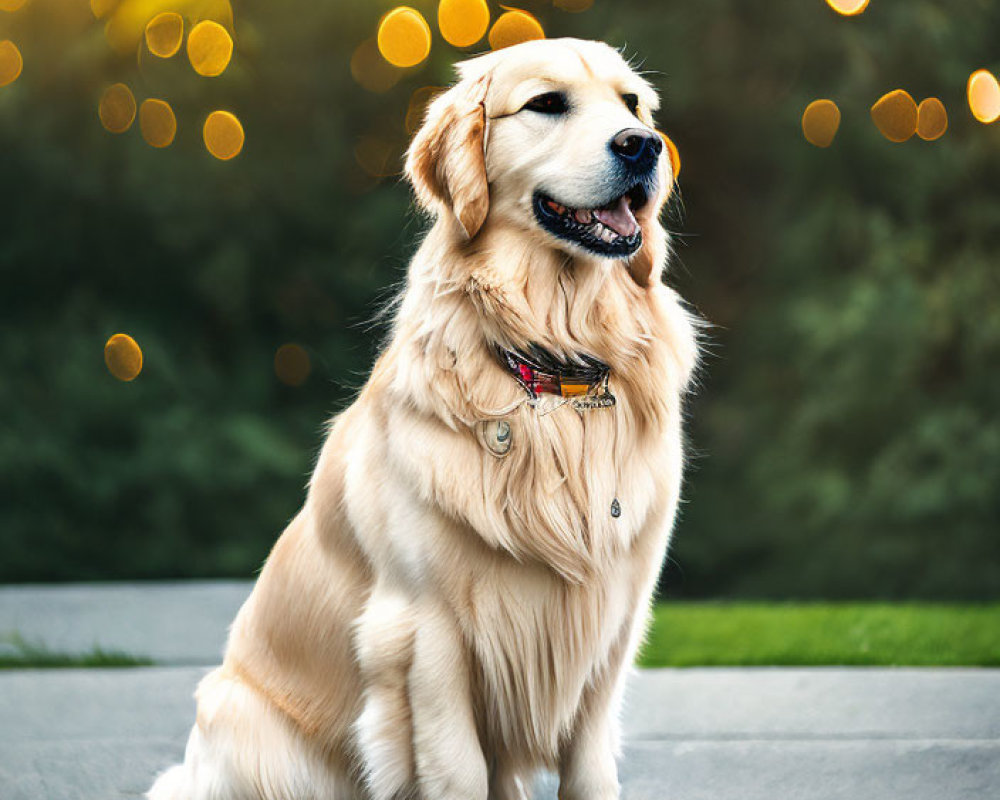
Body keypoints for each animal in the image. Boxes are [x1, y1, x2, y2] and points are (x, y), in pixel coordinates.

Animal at [146, 37, 696, 800]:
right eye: (547, 103)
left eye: (633, 105)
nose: (643, 146)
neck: (550, 360)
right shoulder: (425, 631)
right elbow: (456, 770)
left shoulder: (608, 627)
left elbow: (588, 772)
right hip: (243, 724)